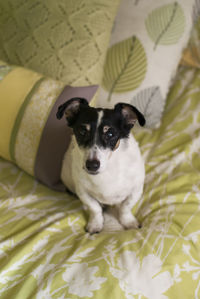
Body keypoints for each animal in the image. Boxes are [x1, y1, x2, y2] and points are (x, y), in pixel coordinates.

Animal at [56, 98, 145, 234]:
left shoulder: (136, 189)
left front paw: (129, 222)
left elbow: (125, 207)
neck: (106, 171)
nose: (92, 165)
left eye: (110, 134)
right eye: (82, 131)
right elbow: (95, 208)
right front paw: (95, 224)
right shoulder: (83, 192)